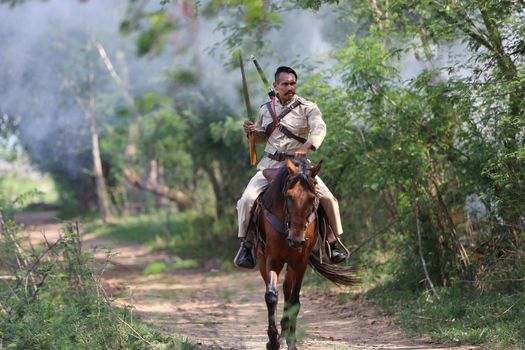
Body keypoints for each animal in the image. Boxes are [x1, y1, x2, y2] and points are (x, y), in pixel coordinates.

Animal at [256, 158, 358, 350]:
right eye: (288, 196)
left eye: (312, 198)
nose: (296, 240)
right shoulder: (272, 259)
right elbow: (271, 296)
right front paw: (272, 341)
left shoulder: (300, 261)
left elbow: (295, 300)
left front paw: (291, 342)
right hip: (262, 259)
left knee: (288, 290)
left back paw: (285, 332)